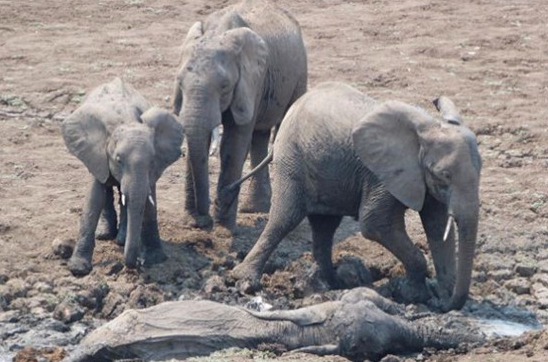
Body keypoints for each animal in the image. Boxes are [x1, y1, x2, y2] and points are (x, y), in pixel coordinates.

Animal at [61, 78, 183, 276]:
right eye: (118, 160)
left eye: (152, 160)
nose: (138, 263)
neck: (125, 119)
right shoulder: (98, 154)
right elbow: (94, 198)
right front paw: (78, 269)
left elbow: (149, 203)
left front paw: (156, 259)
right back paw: (105, 234)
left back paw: (121, 239)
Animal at [172, 0, 306, 232]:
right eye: (179, 82)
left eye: (225, 86)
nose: (207, 216)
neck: (218, 32)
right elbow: (197, 143)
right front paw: (194, 223)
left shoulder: (252, 82)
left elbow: (233, 144)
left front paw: (224, 227)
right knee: (260, 136)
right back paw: (254, 209)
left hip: (300, 73)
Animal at [233, 82, 482, 312]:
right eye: (444, 175)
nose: (443, 304)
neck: (427, 128)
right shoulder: (381, 174)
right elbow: (375, 224)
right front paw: (416, 295)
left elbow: (437, 227)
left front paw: (439, 295)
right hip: (291, 158)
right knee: (285, 218)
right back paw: (245, 280)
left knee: (325, 226)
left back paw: (332, 283)